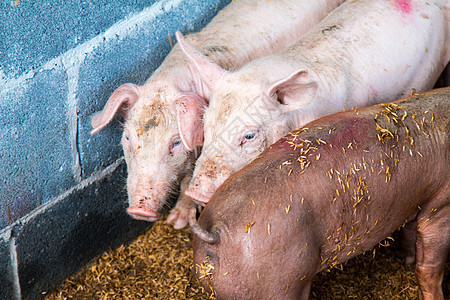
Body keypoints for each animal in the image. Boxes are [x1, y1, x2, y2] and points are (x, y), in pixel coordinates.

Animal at [90, 0, 344, 226]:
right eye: (127, 138)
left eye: (175, 142)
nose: (139, 210)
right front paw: (175, 221)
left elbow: (188, 182)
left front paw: (178, 222)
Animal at [189, 87, 450, 300]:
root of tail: (214, 231)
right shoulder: (440, 204)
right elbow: (429, 265)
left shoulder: (419, 198)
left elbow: (410, 231)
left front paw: (405, 258)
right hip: (277, 283)